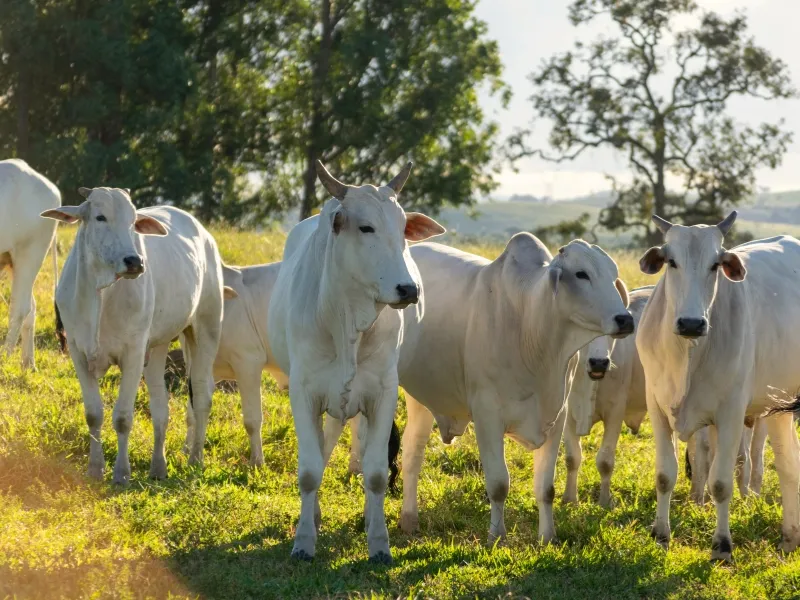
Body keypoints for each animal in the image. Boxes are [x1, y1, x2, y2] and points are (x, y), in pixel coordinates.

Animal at [0, 159, 60, 368]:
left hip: (30, 253)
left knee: (19, 308)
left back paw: (4, 358)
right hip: (13, 261)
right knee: (30, 306)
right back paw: (28, 363)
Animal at [43, 190, 227, 486]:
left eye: (133, 221)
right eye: (100, 217)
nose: (135, 262)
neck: (100, 294)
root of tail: (203, 233)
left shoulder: (133, 353)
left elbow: (122, 418)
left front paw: (121, 473)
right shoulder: (78, 352)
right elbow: (93, 414)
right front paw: (95, 468)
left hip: (206, 328)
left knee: (201, 394)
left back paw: (195, 459)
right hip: (159, 346)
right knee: (161, 406)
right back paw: (158, 467)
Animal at [268, 159, 444, 564]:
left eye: (402, 228)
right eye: (366, 227)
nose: (408, 289)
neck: (347, 319)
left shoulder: (381, 394)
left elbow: (377, 473)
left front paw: (379, 543)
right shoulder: (304, 394)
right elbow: (310, 471)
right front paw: (304, 541)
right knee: (323, 449)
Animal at [564, 284, 648, 506]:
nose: (599, 363)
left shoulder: (615, 412)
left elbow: (605, 461)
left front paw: (604, 501)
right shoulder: (567, 415)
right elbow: (572, 458)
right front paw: (569, 499)